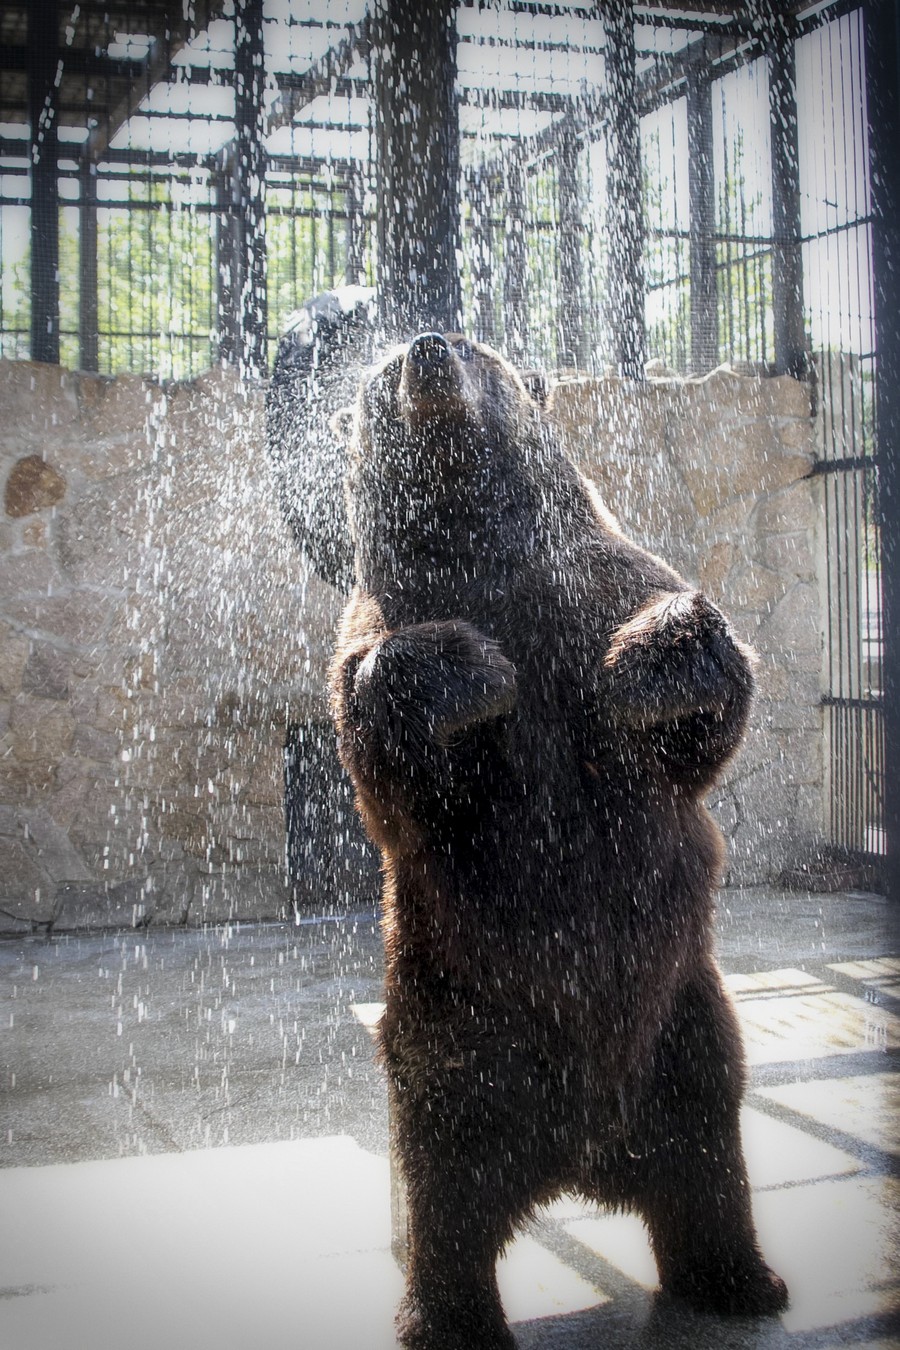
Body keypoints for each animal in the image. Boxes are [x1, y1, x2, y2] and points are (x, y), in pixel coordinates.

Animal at [330, 329, 788, 1350]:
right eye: (381, 365)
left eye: (471, 344)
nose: (427, 349)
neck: (482, 557)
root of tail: (580, 1159)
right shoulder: (373, 626)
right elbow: (394, 760)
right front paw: (471, 669)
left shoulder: (604, 583)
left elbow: (699, 710)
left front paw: (647, 669)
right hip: (455, 1034)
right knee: (446, 1188)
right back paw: (448, 1317)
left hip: (685, 1017)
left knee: (710, 1144)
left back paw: (742, 1277)